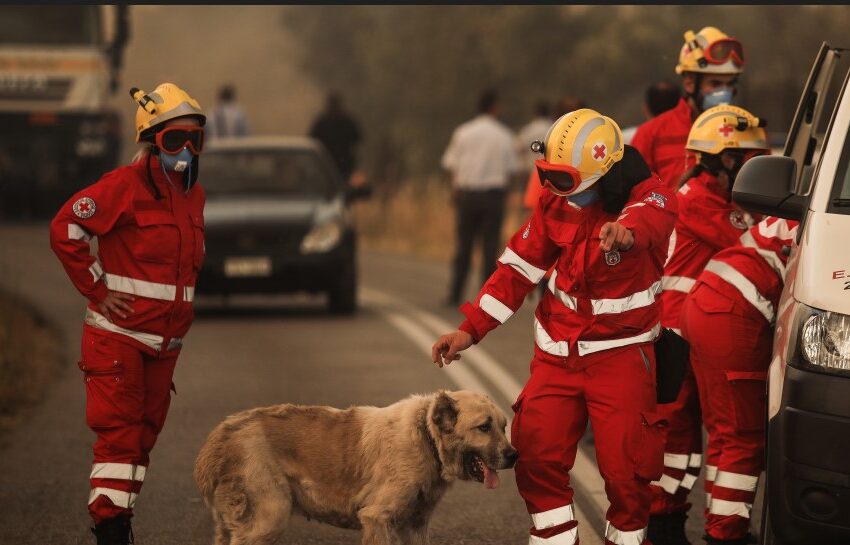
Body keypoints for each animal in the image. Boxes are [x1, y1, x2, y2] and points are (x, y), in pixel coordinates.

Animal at [194, 388, 516, 540]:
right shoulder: (378, 519)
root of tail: (222, 434)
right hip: (267, 519)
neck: (425, 436)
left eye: (504, 426)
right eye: (484, 427)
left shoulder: (415, 524)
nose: (514, 456)